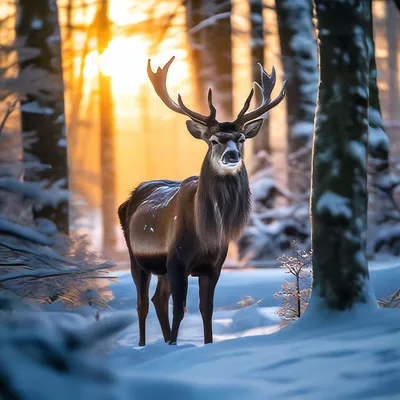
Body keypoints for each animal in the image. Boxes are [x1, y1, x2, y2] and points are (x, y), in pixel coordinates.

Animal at [119, 56, 288, 346]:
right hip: (136, 257)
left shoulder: (213, 266)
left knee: (157, 299)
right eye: (213, 140)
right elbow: (180, 309)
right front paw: (175, 346)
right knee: (142, 304)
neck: (206, 232)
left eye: (241, 139)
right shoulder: (176, 261)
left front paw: (204, 344)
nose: (232, 155)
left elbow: (205, 310)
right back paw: (143, 345)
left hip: (161, 268)